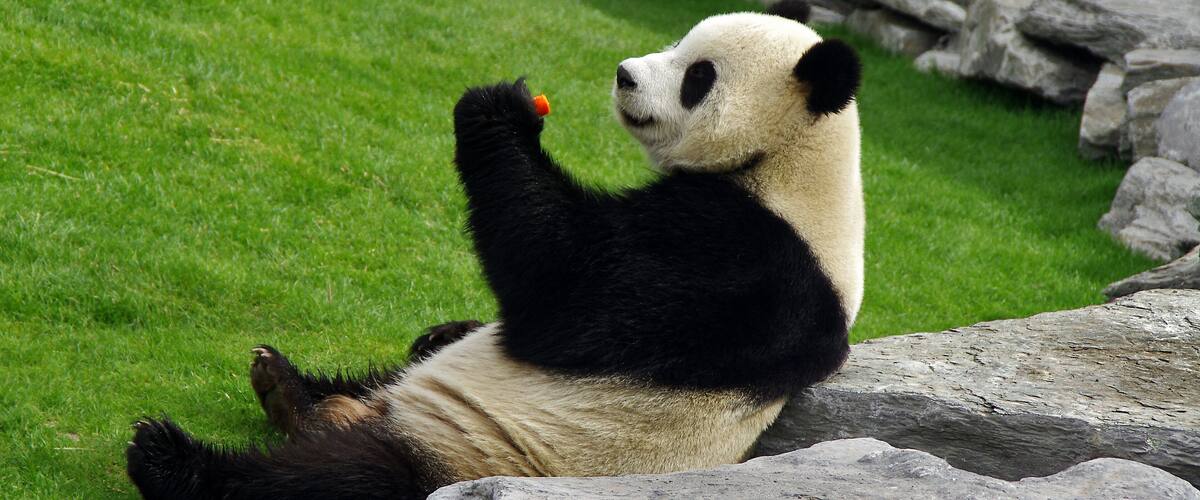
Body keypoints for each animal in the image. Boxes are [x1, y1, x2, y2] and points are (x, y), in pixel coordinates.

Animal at [124, 2, 864, 498]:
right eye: (678, 40)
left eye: (698, 76)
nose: (625, 74)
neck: (794, 165)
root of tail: (364, 419)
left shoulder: (749, 264)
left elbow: (569, 288)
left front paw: (498, 110)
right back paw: (288, 384)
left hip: (472, 456)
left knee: (331, 481)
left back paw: (173, 458)